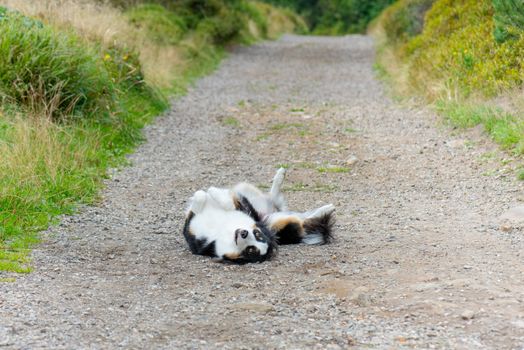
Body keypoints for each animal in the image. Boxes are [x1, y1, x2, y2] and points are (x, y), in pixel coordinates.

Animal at [182, 168, 334, 264]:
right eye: (257, 234)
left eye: (251, 250)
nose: (243, 233)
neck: (222, 230)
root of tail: (269, 214)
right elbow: (202, 196)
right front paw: (210, 192)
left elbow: (223, 201)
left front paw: (212, 192)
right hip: (250, 193)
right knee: (275, 197)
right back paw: (281, 175)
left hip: (284, 223)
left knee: (304, 220)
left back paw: (327, 208)